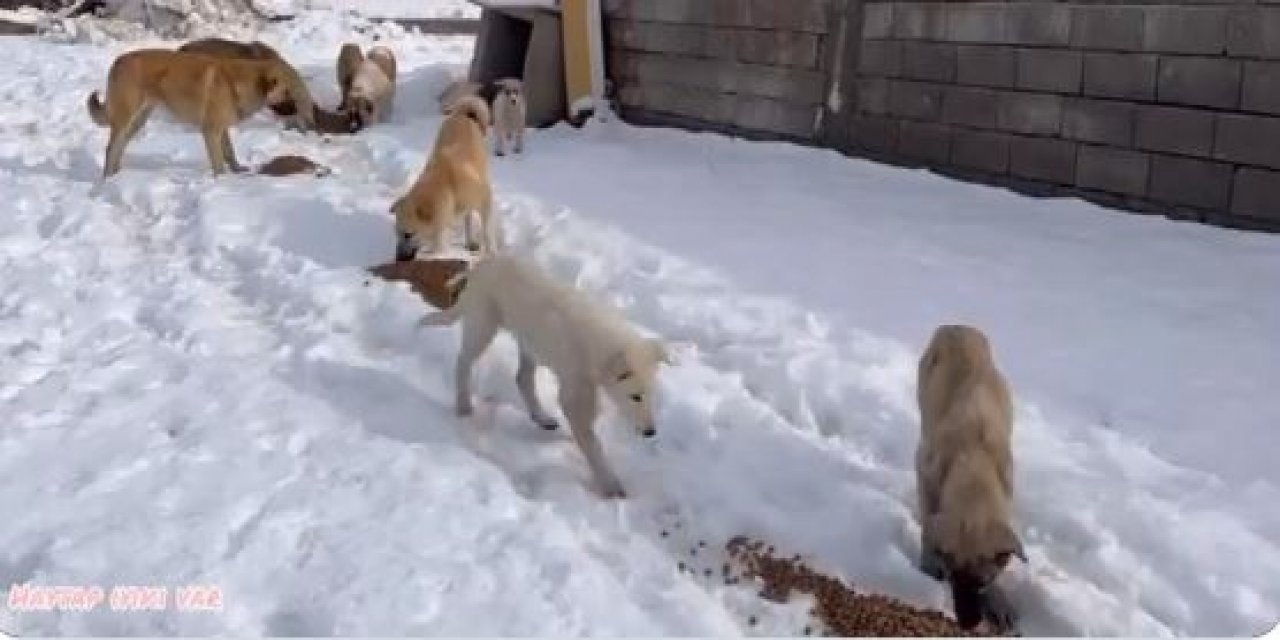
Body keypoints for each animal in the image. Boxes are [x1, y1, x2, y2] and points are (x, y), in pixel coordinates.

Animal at [87, 47, 314, 179]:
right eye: (288, 92)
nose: (297, 111)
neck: (241, 82)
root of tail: (118, 60)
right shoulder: (210, 131)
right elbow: (219, 163)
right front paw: (222, 183)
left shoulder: (221, 130)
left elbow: (229, 153)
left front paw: (237, 172)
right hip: (126, 118)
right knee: (111, 148)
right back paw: (107, 179)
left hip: (138, 120)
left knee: (120, 147)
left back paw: (118, 177)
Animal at [424, 254, 675, 499]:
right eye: (635, 396)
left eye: (651, 395)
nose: (651, 432)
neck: (599, 347)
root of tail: (481, 264)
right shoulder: (574, 394)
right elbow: (592, 443)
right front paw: (609, 483)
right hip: (483, 326)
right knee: (463, 362)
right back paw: (463, 405)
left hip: (528, 342)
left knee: (522, 378)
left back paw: (541, 418)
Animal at [916, 325, 1024, 634]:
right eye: (952, 575)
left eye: (983, 582)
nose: (967, 623)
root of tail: (957, 326)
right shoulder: (925, 473)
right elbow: (927, 523)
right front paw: (928, 561)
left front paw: (999, 601)